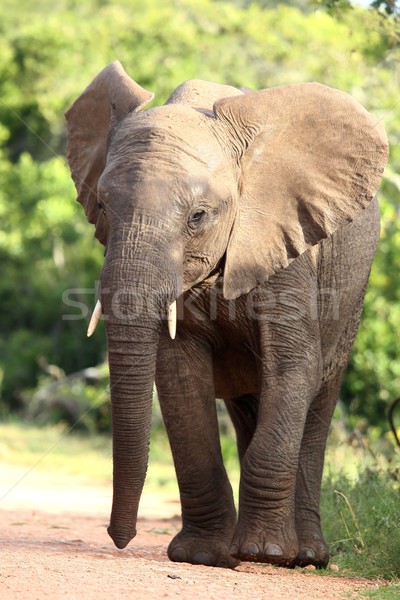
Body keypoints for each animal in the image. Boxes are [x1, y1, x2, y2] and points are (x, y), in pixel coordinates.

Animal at [65, 63, 388, 568]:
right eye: (101, 207)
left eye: (198, 216)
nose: (120, 538)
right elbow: (178, 376)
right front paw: (202, 556)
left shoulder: (288, 246)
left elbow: (294, 366)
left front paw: (264, 553)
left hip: (351, 295)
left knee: (318, 398)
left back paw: (304, 556)